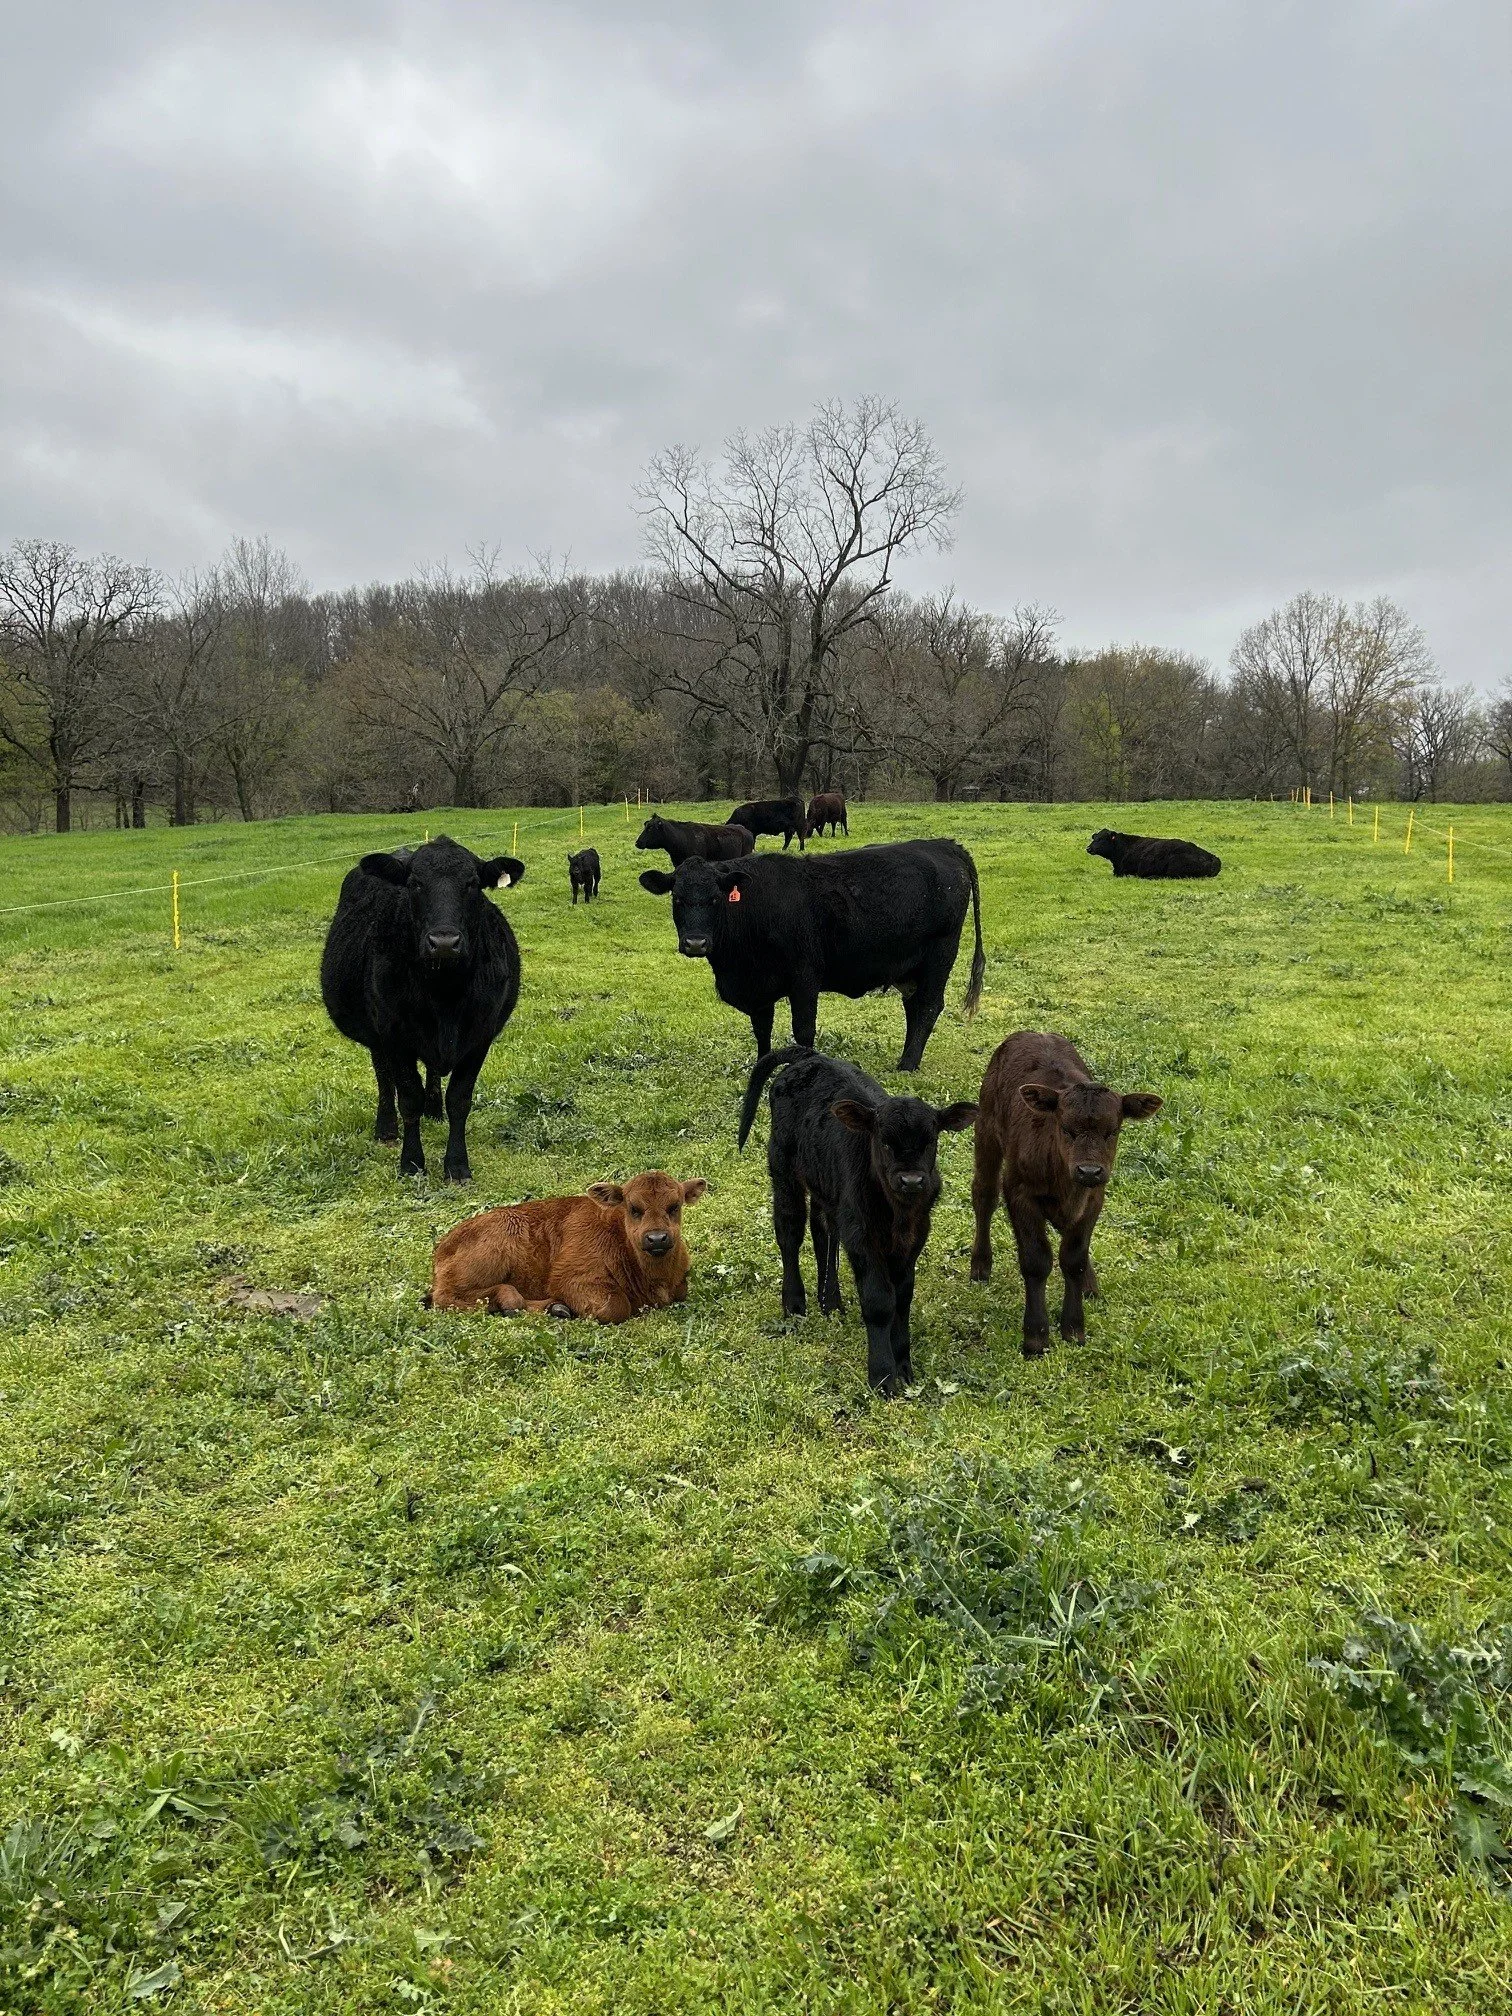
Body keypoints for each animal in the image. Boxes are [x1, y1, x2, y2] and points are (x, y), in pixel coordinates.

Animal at [320, 835, 525, 1182]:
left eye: (472, 884)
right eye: (415, 884)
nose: (444, 942)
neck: (445, 995)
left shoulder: (480, 1035)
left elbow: (459, 1100)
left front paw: (457, 1165)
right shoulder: (394, 1035)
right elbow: (408, 1098)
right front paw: (412, 1162)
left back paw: (434, 1109)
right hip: (377, 1034)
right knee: (384, 1076)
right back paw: (386, 1128)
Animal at [426, 1171, 708, 1321]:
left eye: (674, 1206)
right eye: (634, 1208)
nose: (657, 1238)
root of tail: (444, 1244)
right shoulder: (572, 1280)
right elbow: (615, 1307)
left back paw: (556, 1308)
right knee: (446, 1298)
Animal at [638, 838, 985, 1070]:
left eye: (714, 899)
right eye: (677, 899)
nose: (696, 943)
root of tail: (944, 844)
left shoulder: (804, 977)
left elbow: (803, 1029)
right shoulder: (758, 986)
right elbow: (762, 1030)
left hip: (940, 954)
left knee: (928, 1006)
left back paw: (907, 1065)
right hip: (910, 968)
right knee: (914, 1007)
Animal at [738, 1047, 977, 1394]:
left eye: (930, 1141)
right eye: (885, 1141)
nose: (912, 1181)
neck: (897, 1212)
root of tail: (811, 1057)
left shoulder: (914, 1237)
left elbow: (902, 1298)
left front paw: (904, 1366)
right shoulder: (862, 1236)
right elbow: (879, 1302)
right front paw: (883, 1376)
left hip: (826, 1185)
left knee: (822, 1230)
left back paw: (830, 1303)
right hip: (783, 1165)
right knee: (789, 1229)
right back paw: (795, 1305)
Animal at [969, 1031, 1162, 1356]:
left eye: (1113, 1131)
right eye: (1066, 1128)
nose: (1089, 1170)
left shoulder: (1094, 1198)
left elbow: (1074, 1259)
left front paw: (1073, 1328)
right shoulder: (1020, 1192)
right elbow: (1036, 1260)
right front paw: (1036, 1336)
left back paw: (1089, 1286)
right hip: (986, 1131)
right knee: (984, 1196)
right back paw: (980, 1265)